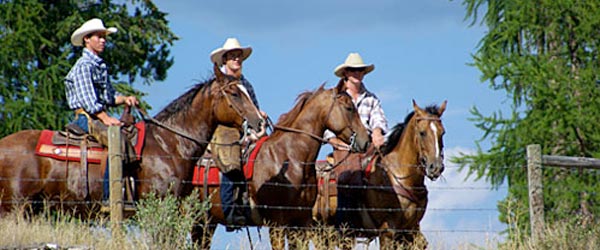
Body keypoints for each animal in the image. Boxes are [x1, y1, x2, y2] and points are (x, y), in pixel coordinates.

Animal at [191, 84, 370, 250]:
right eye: (349, 108)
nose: (366, 140)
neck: (289, 157)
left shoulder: (300, 223)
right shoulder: (276, 223)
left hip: (207, 223)